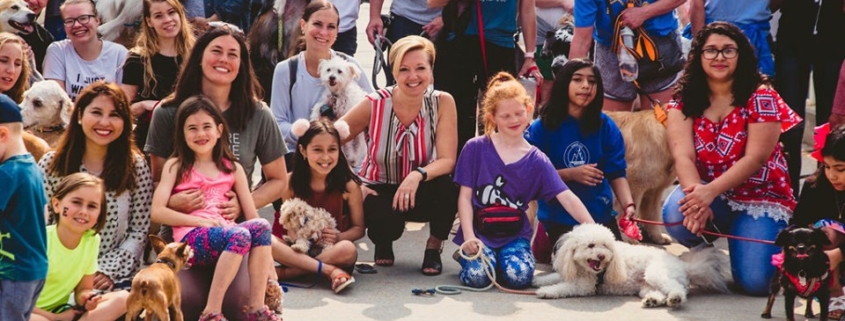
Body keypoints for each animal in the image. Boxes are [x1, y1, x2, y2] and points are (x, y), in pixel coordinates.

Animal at [536, 224, 724, 306]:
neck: (585, 269)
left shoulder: (584, 286)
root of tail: (685, 266)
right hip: (646, 286)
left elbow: (562, 287)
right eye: (591, 245)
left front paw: (546, 291)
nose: (602, 256)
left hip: (656, 272)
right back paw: (653, 300)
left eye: (606, 246)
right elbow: (553, 277)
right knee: (659, 292)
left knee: (675, 288)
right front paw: (537, 281)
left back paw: (675, 298)